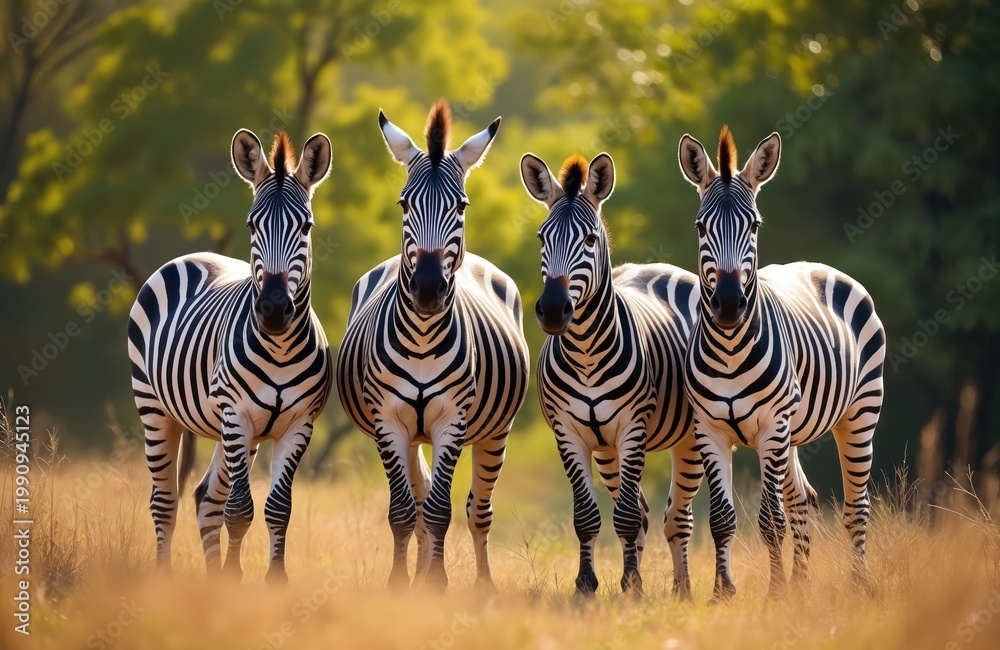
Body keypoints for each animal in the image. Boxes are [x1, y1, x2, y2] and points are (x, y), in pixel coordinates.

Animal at [127, 129, 334, 584]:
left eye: (306, 226)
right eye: (252, 224)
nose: (273, 308)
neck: (280, 347)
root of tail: (194, 256)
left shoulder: (299, 423)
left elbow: (277, 509)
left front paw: (270, 581)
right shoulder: (236, 413)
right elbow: (240, 510)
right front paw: (235, 583)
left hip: (236, 432)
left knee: (206, 497)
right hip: (157, 409)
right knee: (164, 501)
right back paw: (163, 579)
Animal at [337, 101, 529, 591]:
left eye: (460, 206)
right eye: (404, 203)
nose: (427, 289)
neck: (422, 339)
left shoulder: (451, 421)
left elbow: (442, 510)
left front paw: (437, 585)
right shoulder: (388, 420)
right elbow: (405, 512)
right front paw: (401, 585)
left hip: (495, 432)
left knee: (478, 510)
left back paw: (483, 585)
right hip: (406, 435)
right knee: (419, 501)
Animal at [521, 152, 704, 597]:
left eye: (590, 240)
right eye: (541, 238)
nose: (553, 311)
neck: (587, 352)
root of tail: (660, 266)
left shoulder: (633, 427)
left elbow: (624, 518)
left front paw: (632, 586)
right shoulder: (568, 431)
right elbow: (587, 515)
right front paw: (587, 584)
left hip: (688, 438)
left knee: (676, 515)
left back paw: (681, 589)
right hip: (607, 451)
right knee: (640, 509)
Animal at [677, 126, 886, 601]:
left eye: (754, 225)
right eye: (700, 226)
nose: (729, 305)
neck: (729, 347)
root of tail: (818, 266)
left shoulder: (771, 425)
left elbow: (770, 521)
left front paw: (774, 593)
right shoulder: (710, 428)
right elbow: (723, 518)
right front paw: (723, 593)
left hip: (859, 412)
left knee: (856, 506)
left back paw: (858, 584)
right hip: (791, 431)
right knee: (802, 499)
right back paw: (802, 583)